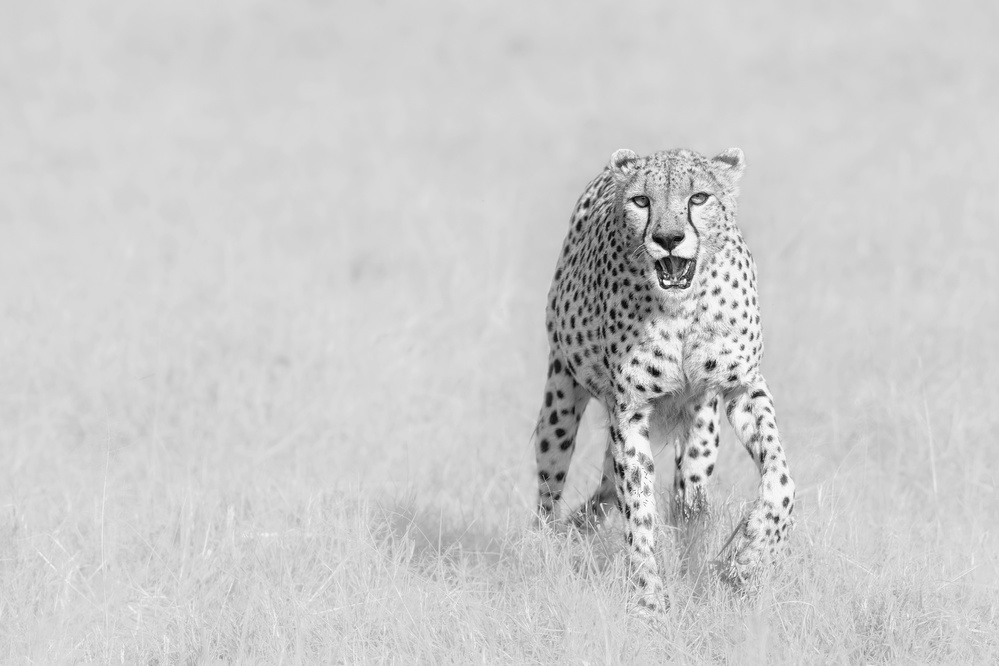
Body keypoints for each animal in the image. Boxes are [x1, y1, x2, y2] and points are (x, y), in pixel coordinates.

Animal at [530, 147, 795, 615]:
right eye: (641, 201)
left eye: (698, 198)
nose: (669, 238)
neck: (682, 306)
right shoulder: (629, 411)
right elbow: (638, 511)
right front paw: (649, 600)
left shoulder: (744, 387)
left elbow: (781, 480)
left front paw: (747, 555)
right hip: (559, 402)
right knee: (552, 490)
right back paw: (547, 549)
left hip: (702, 433)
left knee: (684, 499)